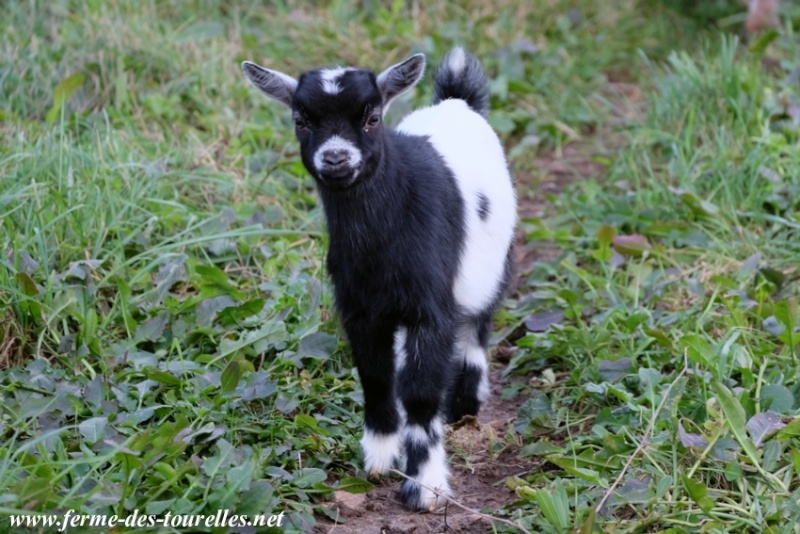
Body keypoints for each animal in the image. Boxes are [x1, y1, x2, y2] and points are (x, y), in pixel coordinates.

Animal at [244, 49, 516, 510]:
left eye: (372, 117)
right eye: (301, 119)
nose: (336, 158)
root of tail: (457, 101)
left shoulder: (431, 310)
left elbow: (422, 393)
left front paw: (425, 487)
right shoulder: (359, 309)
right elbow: (375, 377)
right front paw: (380, 458)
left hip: (493, 265)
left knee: (477, 324)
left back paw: (466, 402)